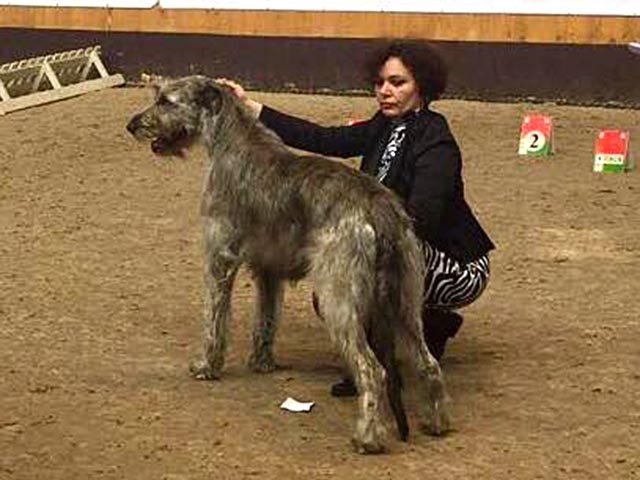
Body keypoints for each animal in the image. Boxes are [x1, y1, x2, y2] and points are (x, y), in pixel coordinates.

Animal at [126, 75, 450, 454]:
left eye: (165, 101)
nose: (132, 124)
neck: (229, 141)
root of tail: (379, 207)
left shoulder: (219, 259)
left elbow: (215, 319)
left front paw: (207, 365)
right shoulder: (269, 270)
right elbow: (266, 319)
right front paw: (262, 363)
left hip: (339, 298)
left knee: (373, 370)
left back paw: (367, 437)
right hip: (406, 298)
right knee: (428, 363)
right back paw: (436, 422)